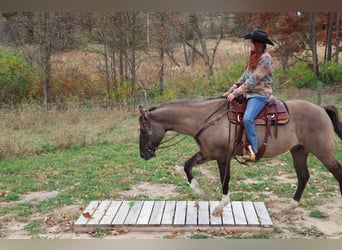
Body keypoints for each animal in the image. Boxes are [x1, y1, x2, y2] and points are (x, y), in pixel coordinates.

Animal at [138, 97, 342, 217]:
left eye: (143, 130)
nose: (143, 154)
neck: (207, 119)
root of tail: (321, 108)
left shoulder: (222, 157)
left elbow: (225, 179)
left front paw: (220, 206)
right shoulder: (208, 153)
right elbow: (187, 165)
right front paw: (200, 192)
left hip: (322, 151)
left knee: (337, 172)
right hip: (299, 150)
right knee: (303, 176)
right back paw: (289, 207)